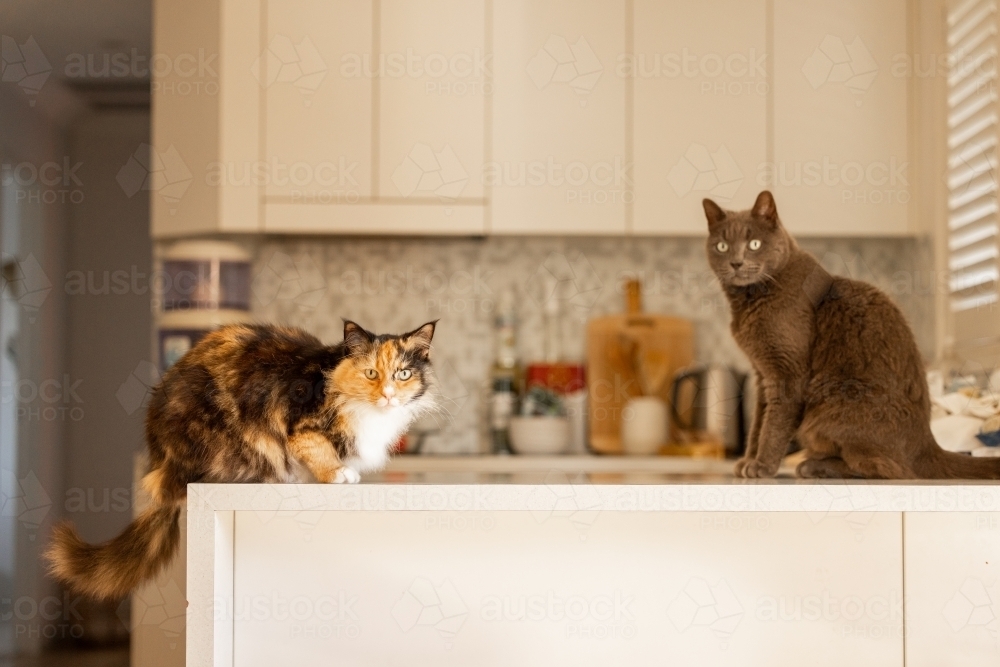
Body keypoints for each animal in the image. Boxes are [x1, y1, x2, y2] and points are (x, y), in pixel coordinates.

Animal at [47, 320, 438, 600]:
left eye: (403, 374)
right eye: (371, 373)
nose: (388, 395)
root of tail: (160, 462)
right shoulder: (299, 424)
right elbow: (318, 449)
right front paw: (337, 474)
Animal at [704, 189, 1000, 480]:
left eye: (754, 244)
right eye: (722, 246)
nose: (736, 262)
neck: (749, 302)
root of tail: (927, 444)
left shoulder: (786, 372)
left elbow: (773, 424)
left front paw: (761, 465)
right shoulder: (762, 373)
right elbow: (759, 422)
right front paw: (747, 461)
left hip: (836, 404)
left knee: (890, 469)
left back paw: (814, 466)